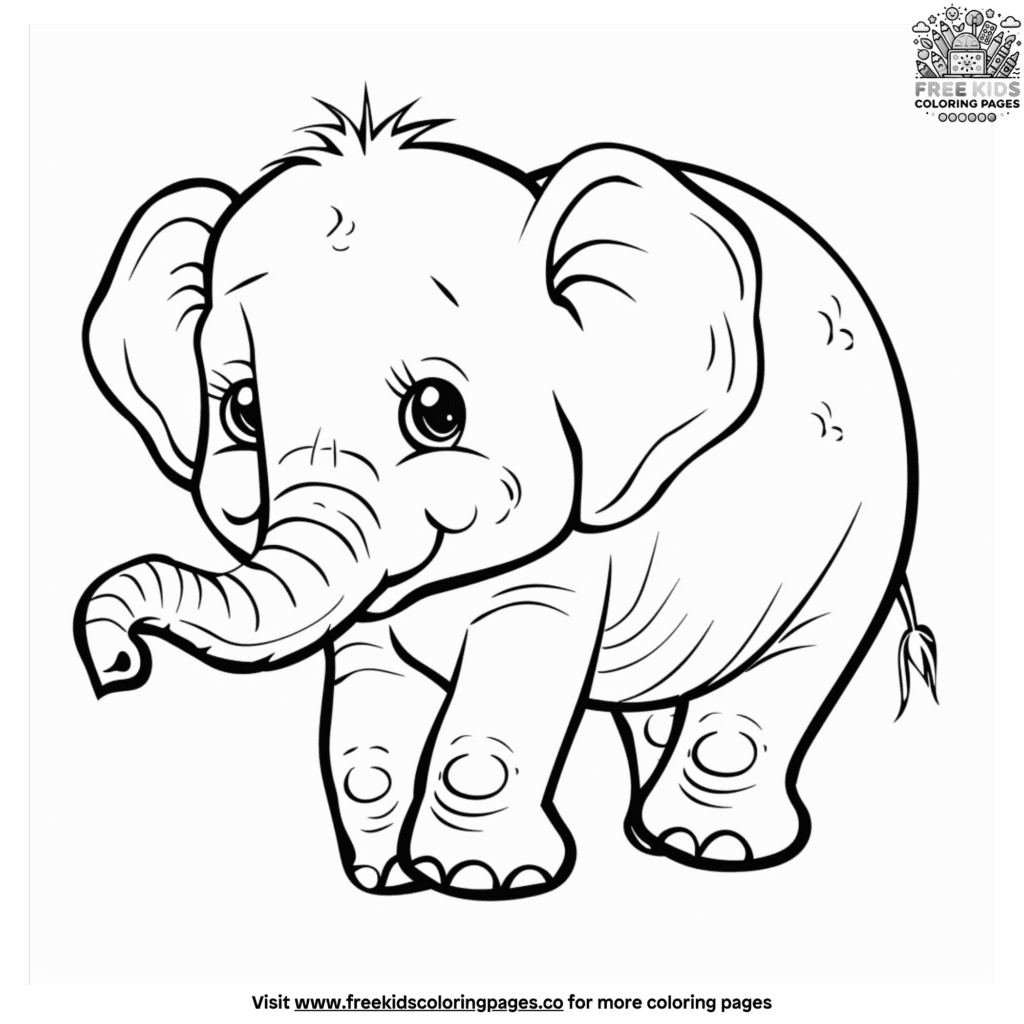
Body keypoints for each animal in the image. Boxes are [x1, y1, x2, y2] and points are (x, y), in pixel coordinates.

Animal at [75, 95, 938, 900]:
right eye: (242, 412)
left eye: (437, 410)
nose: (116, 665)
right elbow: (368, 706)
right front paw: (389, 879)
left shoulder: (575, 551)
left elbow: (512, 673)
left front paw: (479, 879)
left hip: (862, 526)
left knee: (791, 669)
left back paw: (710, 847)